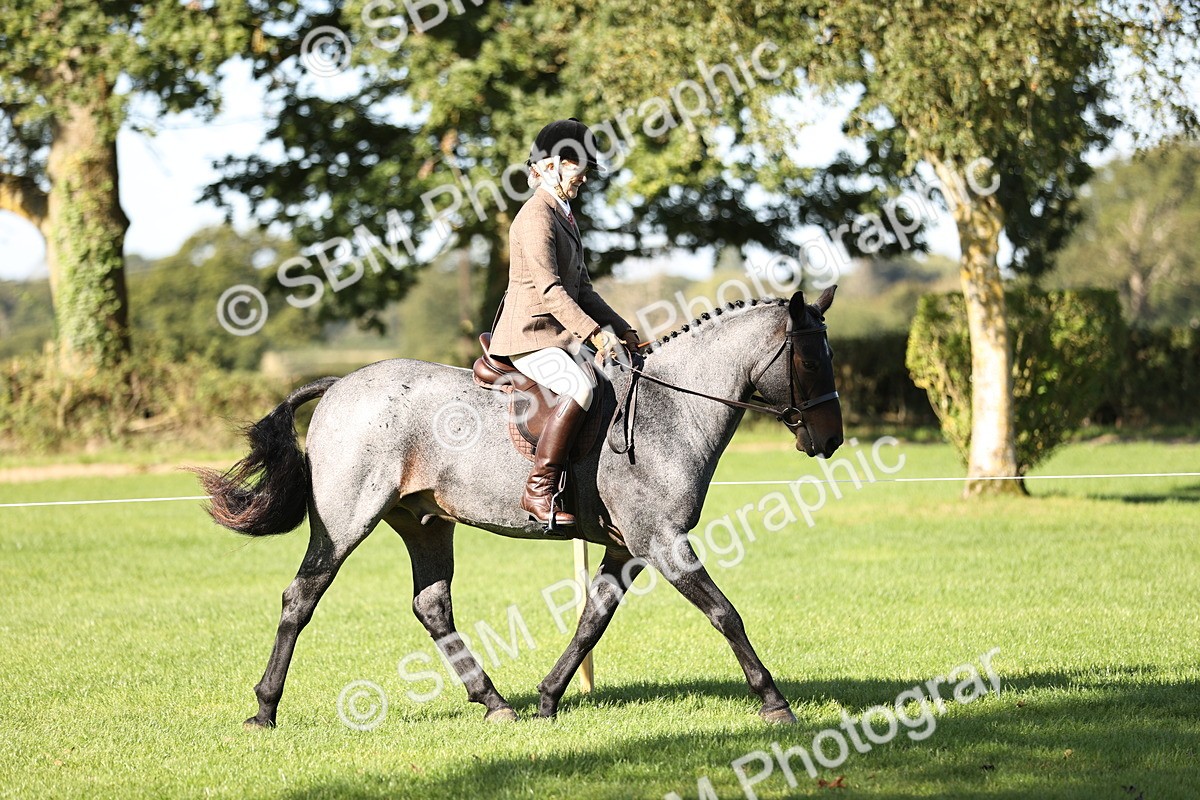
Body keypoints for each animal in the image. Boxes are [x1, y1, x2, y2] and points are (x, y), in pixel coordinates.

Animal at [194, 287, 843, 728]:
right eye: (812, 361)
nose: (830, 440)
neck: (671, 410)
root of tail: (338, 385)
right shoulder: (662, 541)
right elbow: (725, 613)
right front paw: (775, 702)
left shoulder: (625, 549)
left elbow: (591, 622)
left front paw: (549, 698)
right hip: (347, 519)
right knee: (300, 598)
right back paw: (264, 710)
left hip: (425, 523)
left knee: (432, 606)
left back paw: (495, 703)